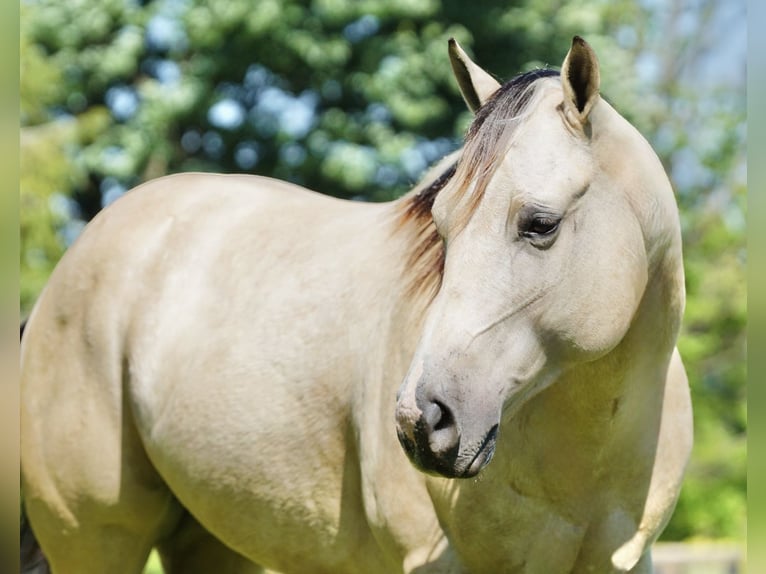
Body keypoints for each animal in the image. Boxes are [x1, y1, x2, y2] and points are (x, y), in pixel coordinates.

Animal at [20, 36, 692, 573]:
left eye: (541, 224)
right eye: (442, 225)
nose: (422, 421)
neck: (585, 460)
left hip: (212, 539)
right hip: (95, 538)